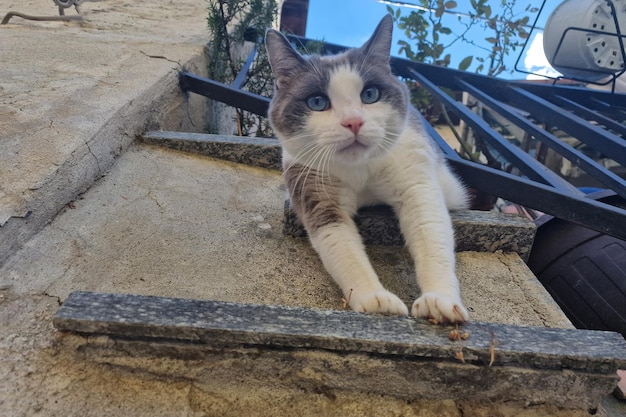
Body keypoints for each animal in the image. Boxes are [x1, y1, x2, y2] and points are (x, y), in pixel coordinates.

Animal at [264, 13, 468, 322]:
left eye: (370, 94)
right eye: (317, 102)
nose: (353, 122)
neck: (359, 169)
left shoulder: (416, 183)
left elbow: (432, 236)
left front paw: (440, 300)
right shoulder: (313, 190)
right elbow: (343, 250)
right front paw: (376, 299)